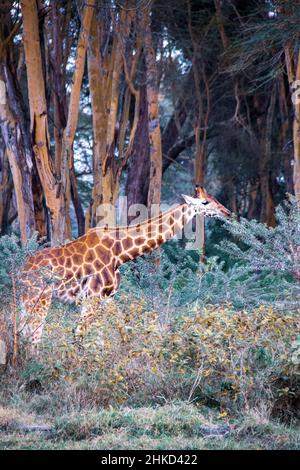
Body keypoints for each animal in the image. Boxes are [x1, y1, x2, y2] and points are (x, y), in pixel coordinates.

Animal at [20, 186, 230, 352]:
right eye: (205, 202)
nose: (227, 213)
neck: (120, 253)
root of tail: (22, 270)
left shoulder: (108, 297)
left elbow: (116, 333)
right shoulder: (92, 296)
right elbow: (79, 335)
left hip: (27, 301)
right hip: (40, 299)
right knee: (34, 337)